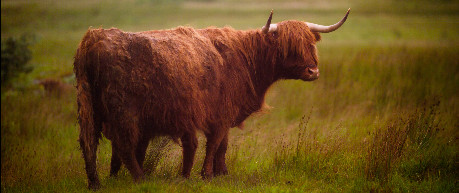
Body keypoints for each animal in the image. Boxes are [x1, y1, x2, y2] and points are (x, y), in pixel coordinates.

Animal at [73, 9, 350, 190]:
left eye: (310, 43)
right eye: (288, 47)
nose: (313, 71)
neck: (244, 58)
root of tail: (92, 40)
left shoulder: (223, 114)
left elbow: (222, 146)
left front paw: (222, 174)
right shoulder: (220, 114)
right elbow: (215, 144)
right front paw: (207, 175)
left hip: (89, 109)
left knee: (89, 143)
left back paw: (98, 182)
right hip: (124, 113)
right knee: (123, 146)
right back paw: (140, 180)